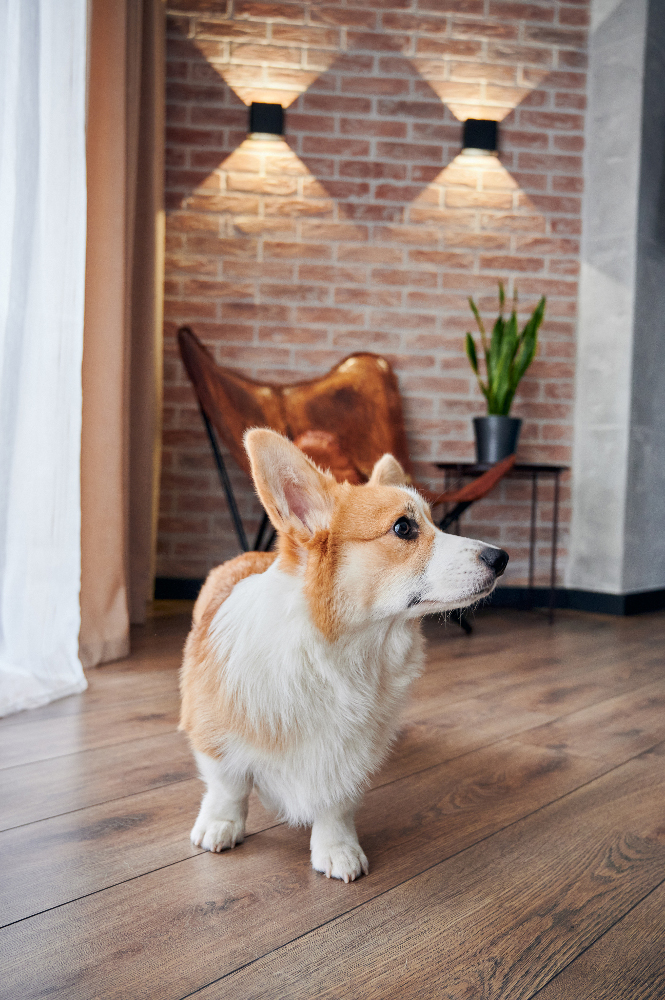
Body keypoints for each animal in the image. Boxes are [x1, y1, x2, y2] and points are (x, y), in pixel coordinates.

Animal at [179, 430, 506, 884]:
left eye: (434, 522)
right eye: (403, 527)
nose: (502, 558)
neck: (342, 653)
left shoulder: (352, 755)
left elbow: (336, 802)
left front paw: (337, 849)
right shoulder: (213, 730)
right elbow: (228, 784)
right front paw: (221, 824)